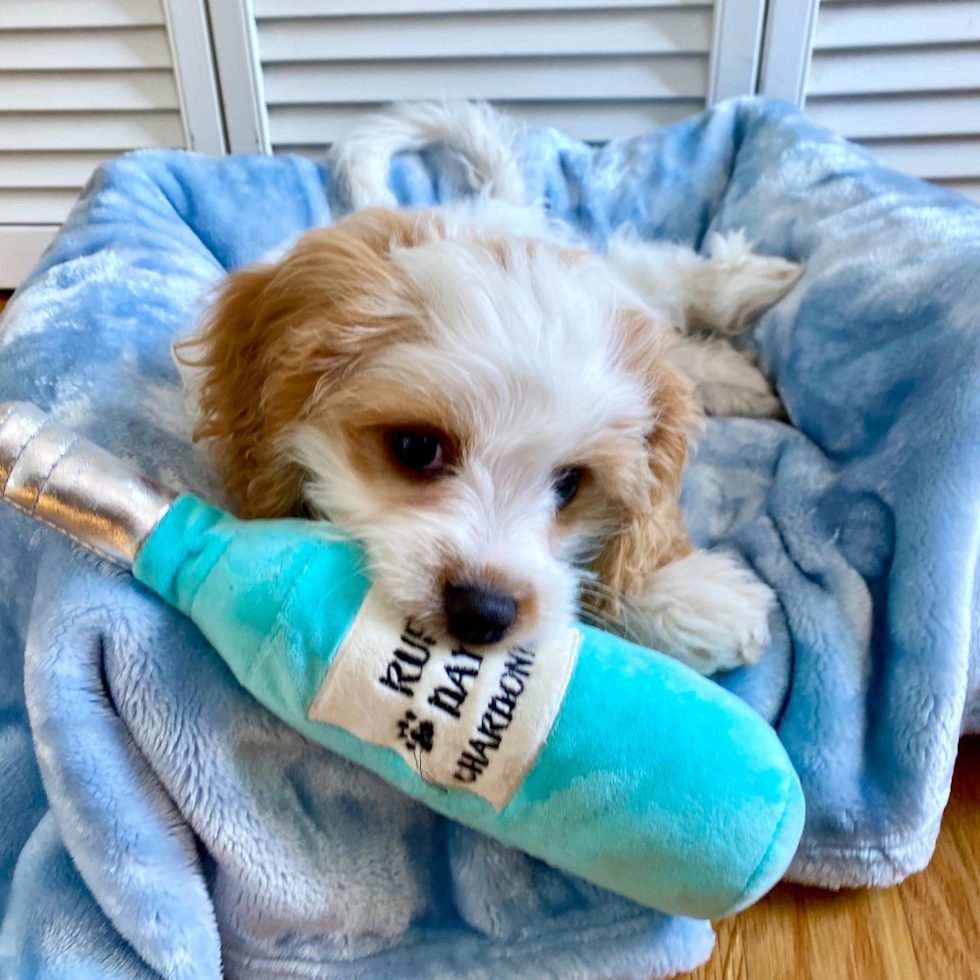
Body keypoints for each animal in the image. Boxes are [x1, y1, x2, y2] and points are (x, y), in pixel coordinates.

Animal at [180, 105, 800, 672]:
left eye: (570, 483)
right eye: (415, 448)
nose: (485, 611)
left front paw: (684, 591)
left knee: (659, 273)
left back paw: (749, 294)